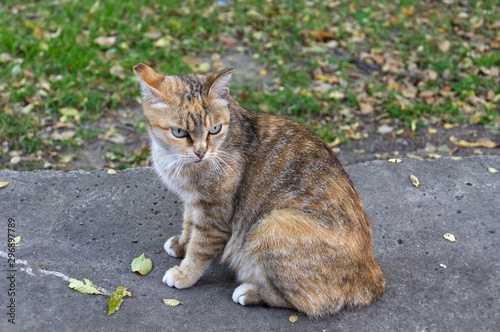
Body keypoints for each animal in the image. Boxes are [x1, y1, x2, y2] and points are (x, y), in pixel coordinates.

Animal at [134, 63, 386, 316]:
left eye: (214, 129)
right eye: (179, 132)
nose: (201, 152)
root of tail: (373, 277)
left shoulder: (214, 214)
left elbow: (199, 249)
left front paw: (184, 273)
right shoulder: (192, 201)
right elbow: (188, 225)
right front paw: (181, 245)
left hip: (271, 223)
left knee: (310, 301)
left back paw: (251, 293)